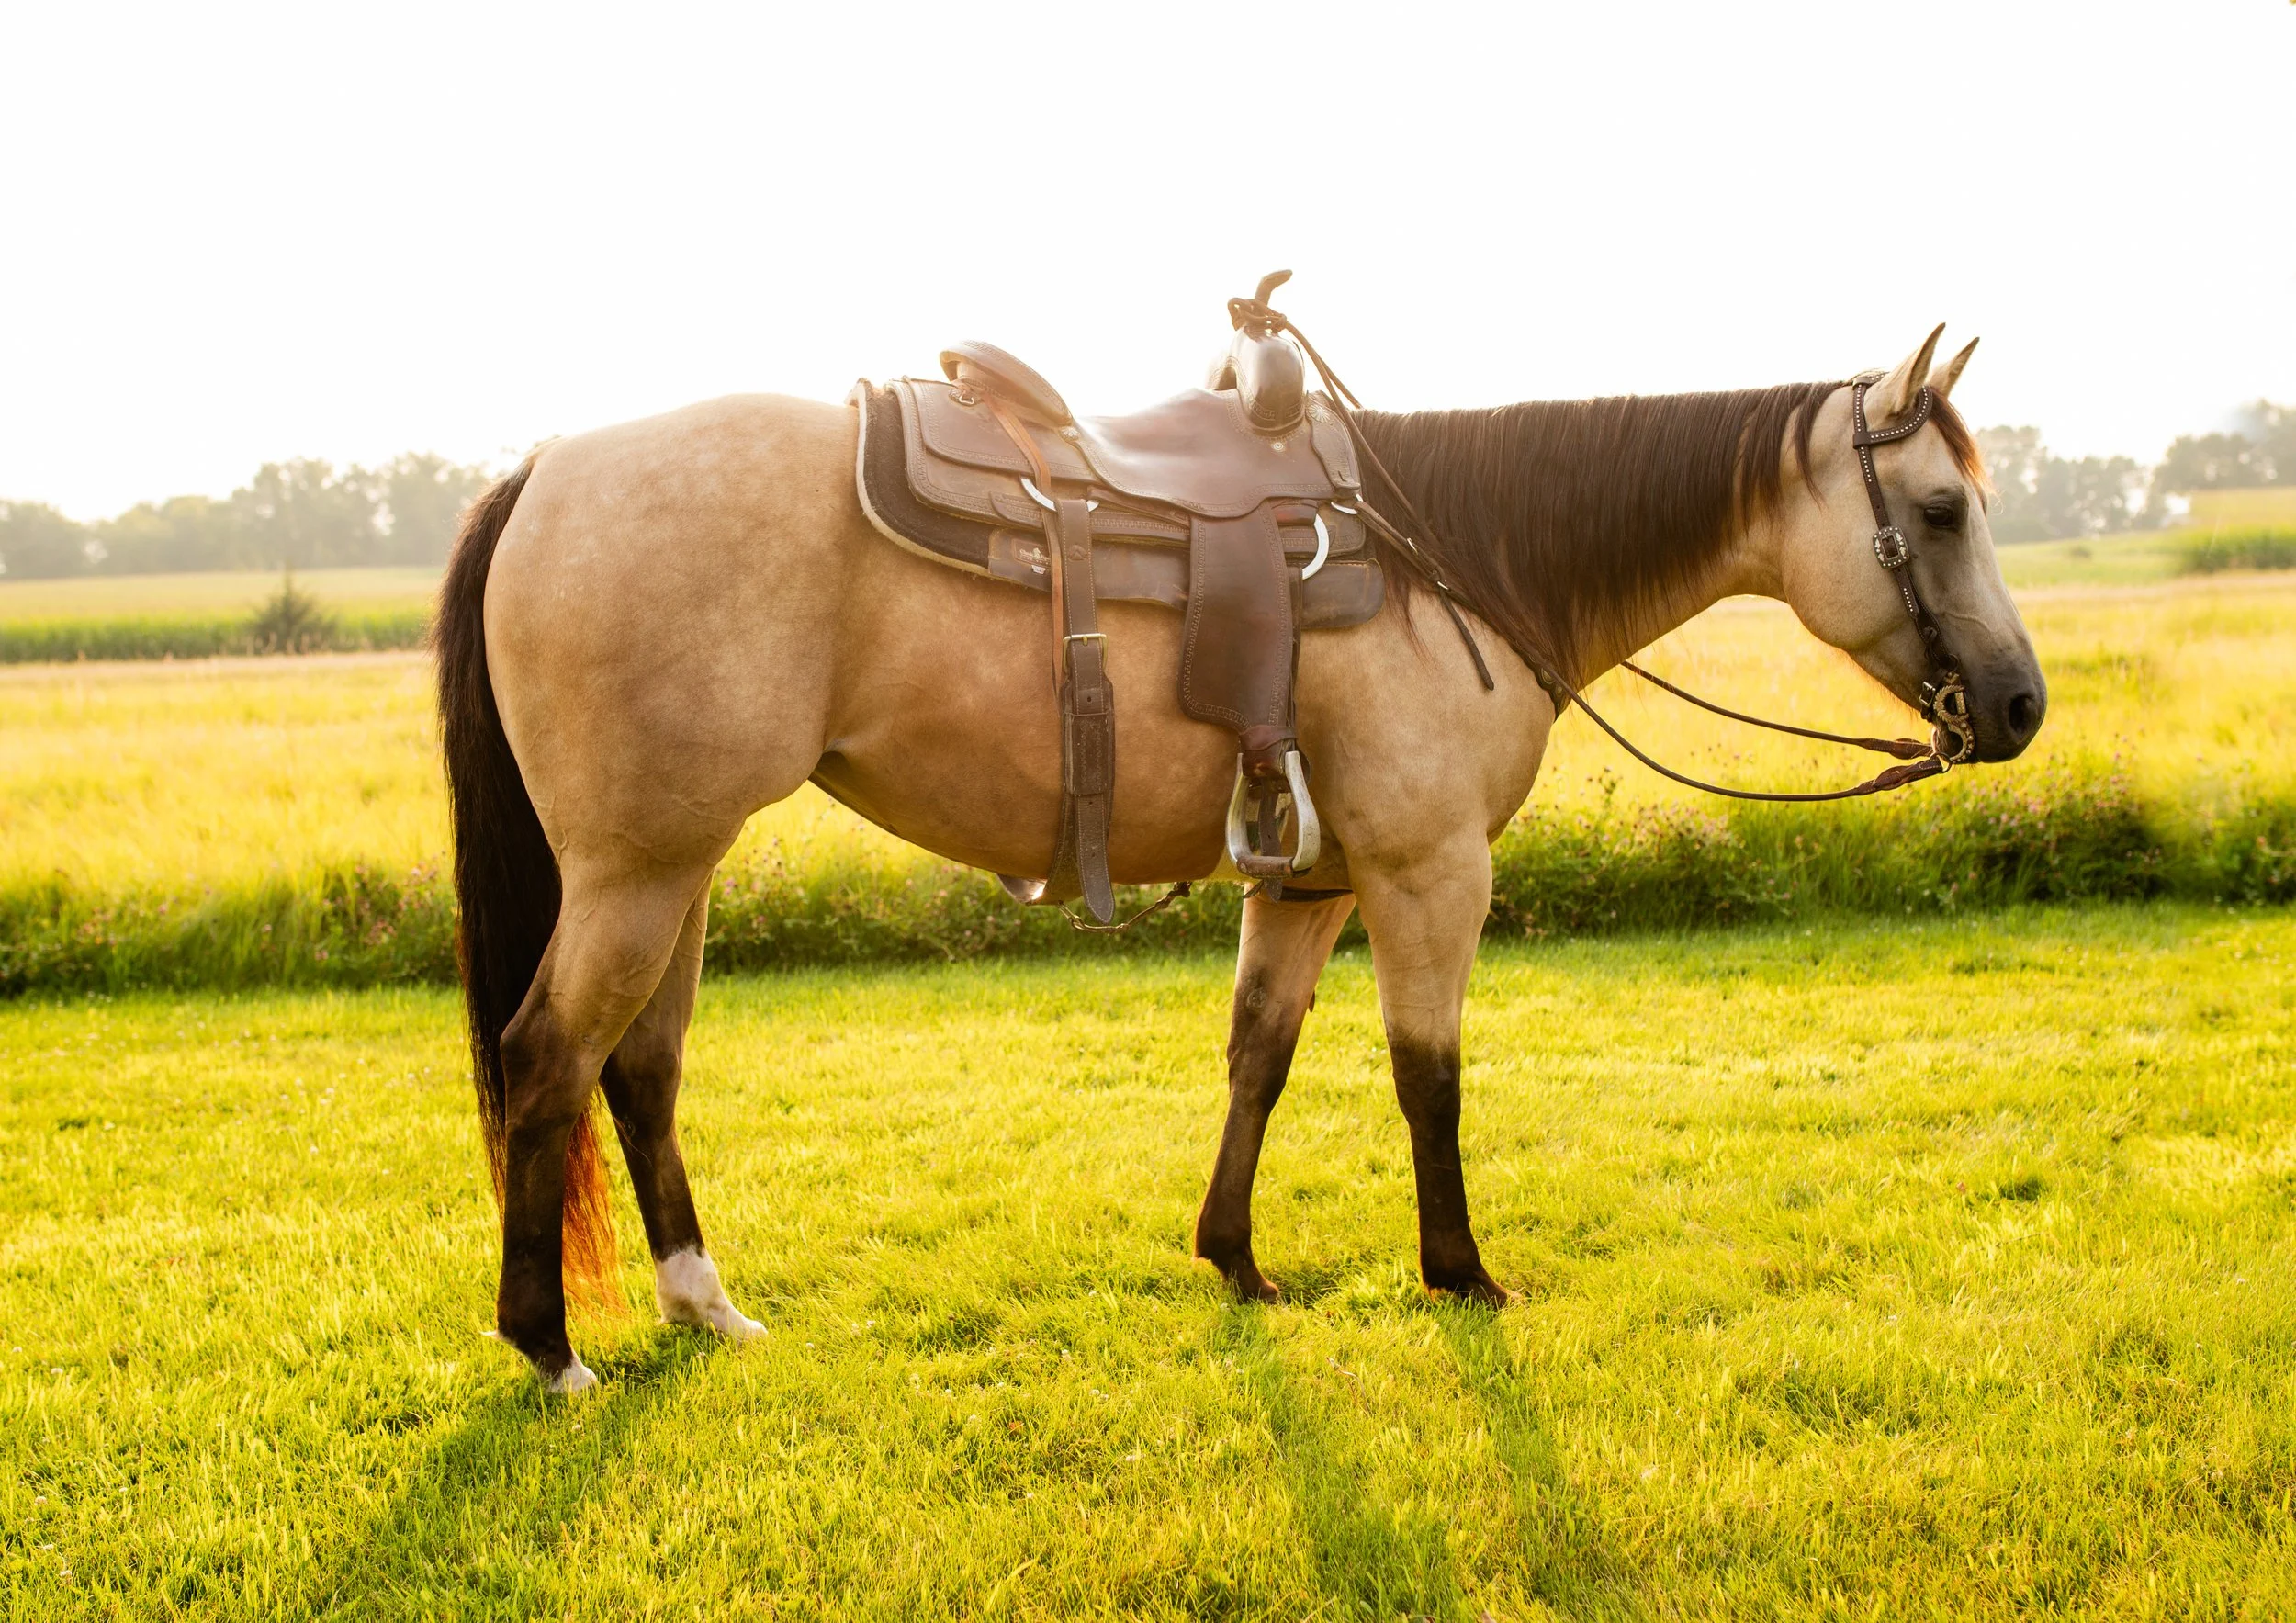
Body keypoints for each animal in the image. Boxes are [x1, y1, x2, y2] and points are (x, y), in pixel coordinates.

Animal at [435, 323, 2046, 1391]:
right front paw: (1460, 1271)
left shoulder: (1309, 882)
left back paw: (701, 1304)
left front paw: (1237, 1258)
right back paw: (549, 1347)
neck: (1457, 558)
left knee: (640, 1069)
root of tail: (546, 468)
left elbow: (1257, 1055)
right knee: (549, 1058)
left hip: (679, 868)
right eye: (1941, 508)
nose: (2022, 705)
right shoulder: (1427, 872)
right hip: (638, 870)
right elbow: (1428, 1075)